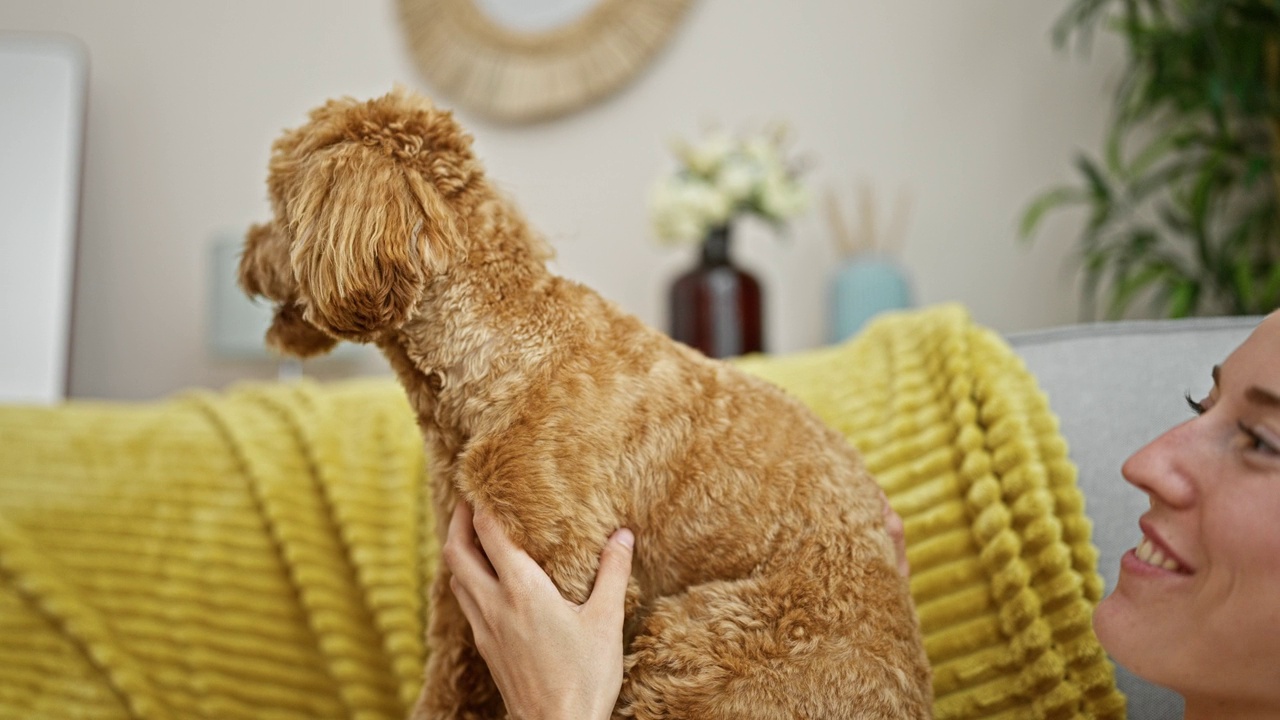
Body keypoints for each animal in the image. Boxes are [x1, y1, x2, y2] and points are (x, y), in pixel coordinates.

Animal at [240, 87, 936, 712]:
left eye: (277, 203)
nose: (245, 257)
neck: (506, 350)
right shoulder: (459, 598)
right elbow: (450, 689)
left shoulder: (565, 569)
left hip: (701, 641)